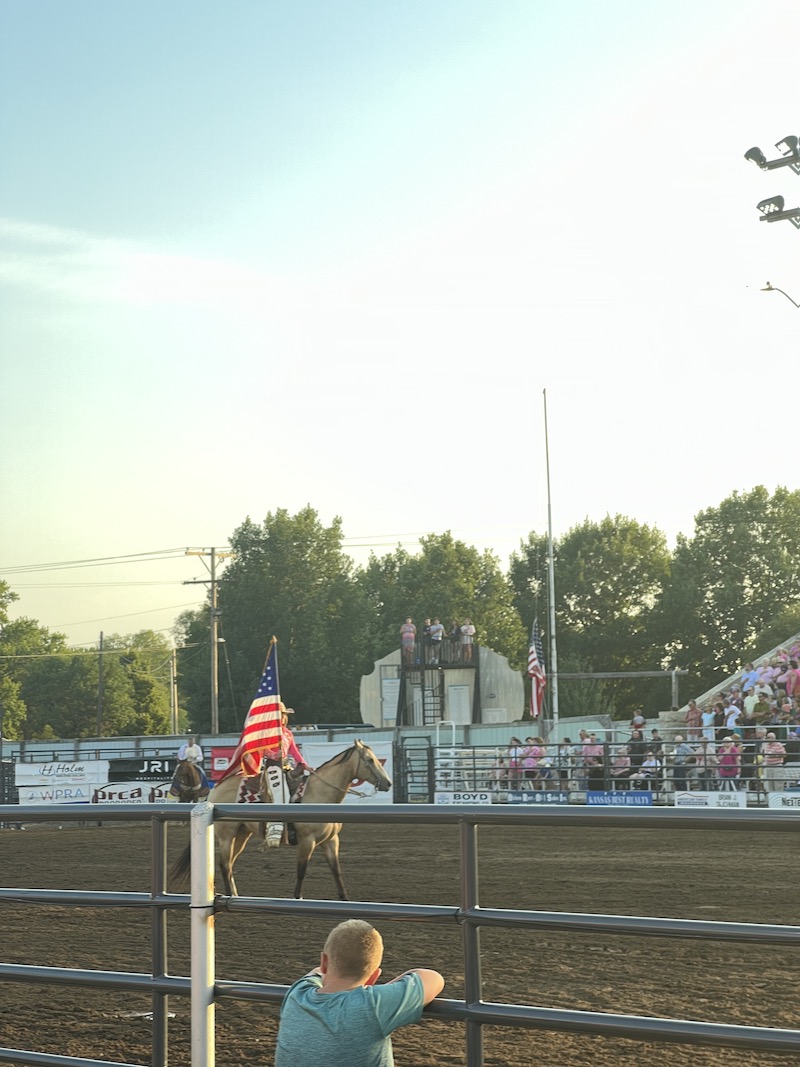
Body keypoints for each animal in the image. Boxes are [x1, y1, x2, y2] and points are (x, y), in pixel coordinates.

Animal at [167, 742, 392, 900]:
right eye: (370, 760)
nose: (388, 783)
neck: (319, 793)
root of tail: (216, 789)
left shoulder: (331, 841)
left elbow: (337, 871)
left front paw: (345, 899)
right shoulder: (307, 840)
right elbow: (301, 870)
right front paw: (297, 897)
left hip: (242, 833)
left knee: (229, 864)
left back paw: (235, 894)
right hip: (226, 835)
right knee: (224, 864)